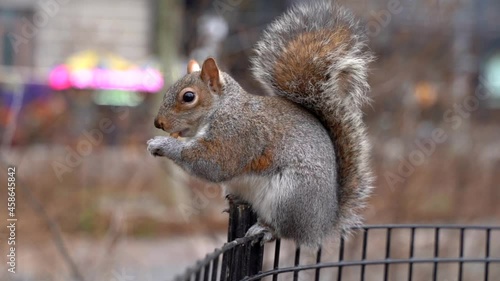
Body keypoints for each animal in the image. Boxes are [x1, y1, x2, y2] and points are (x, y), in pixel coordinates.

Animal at [146, 0, 374, 245]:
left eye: (188, 97)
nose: (158, 123)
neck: (222, 108)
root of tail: (322, 224)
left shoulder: (236, 134)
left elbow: (213, 163)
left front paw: (162, 144)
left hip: (289, 198)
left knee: (285, 231)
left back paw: (266, 229)